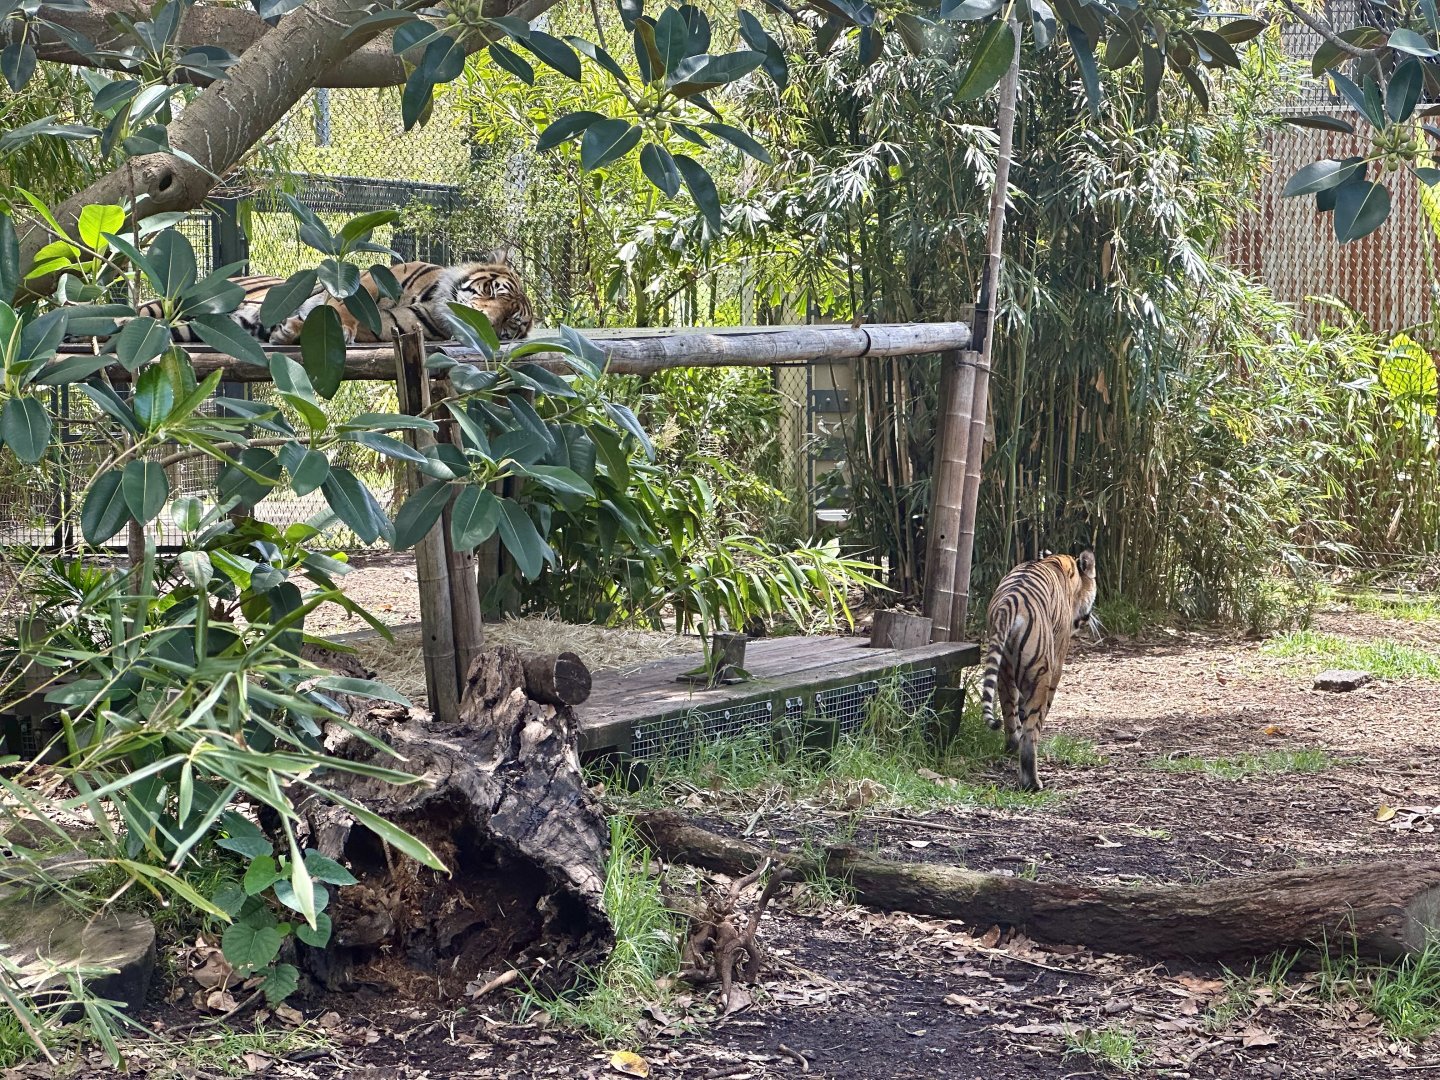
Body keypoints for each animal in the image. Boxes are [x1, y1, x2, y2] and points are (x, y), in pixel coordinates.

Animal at [979, 549, 1098, 793]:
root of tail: (1009, 603)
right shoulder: (1057, 660)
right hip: (1040, 673)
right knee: (1030, 733)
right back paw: (1032, 782)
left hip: (1004, 671)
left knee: (1010, 717)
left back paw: (1011, 749)